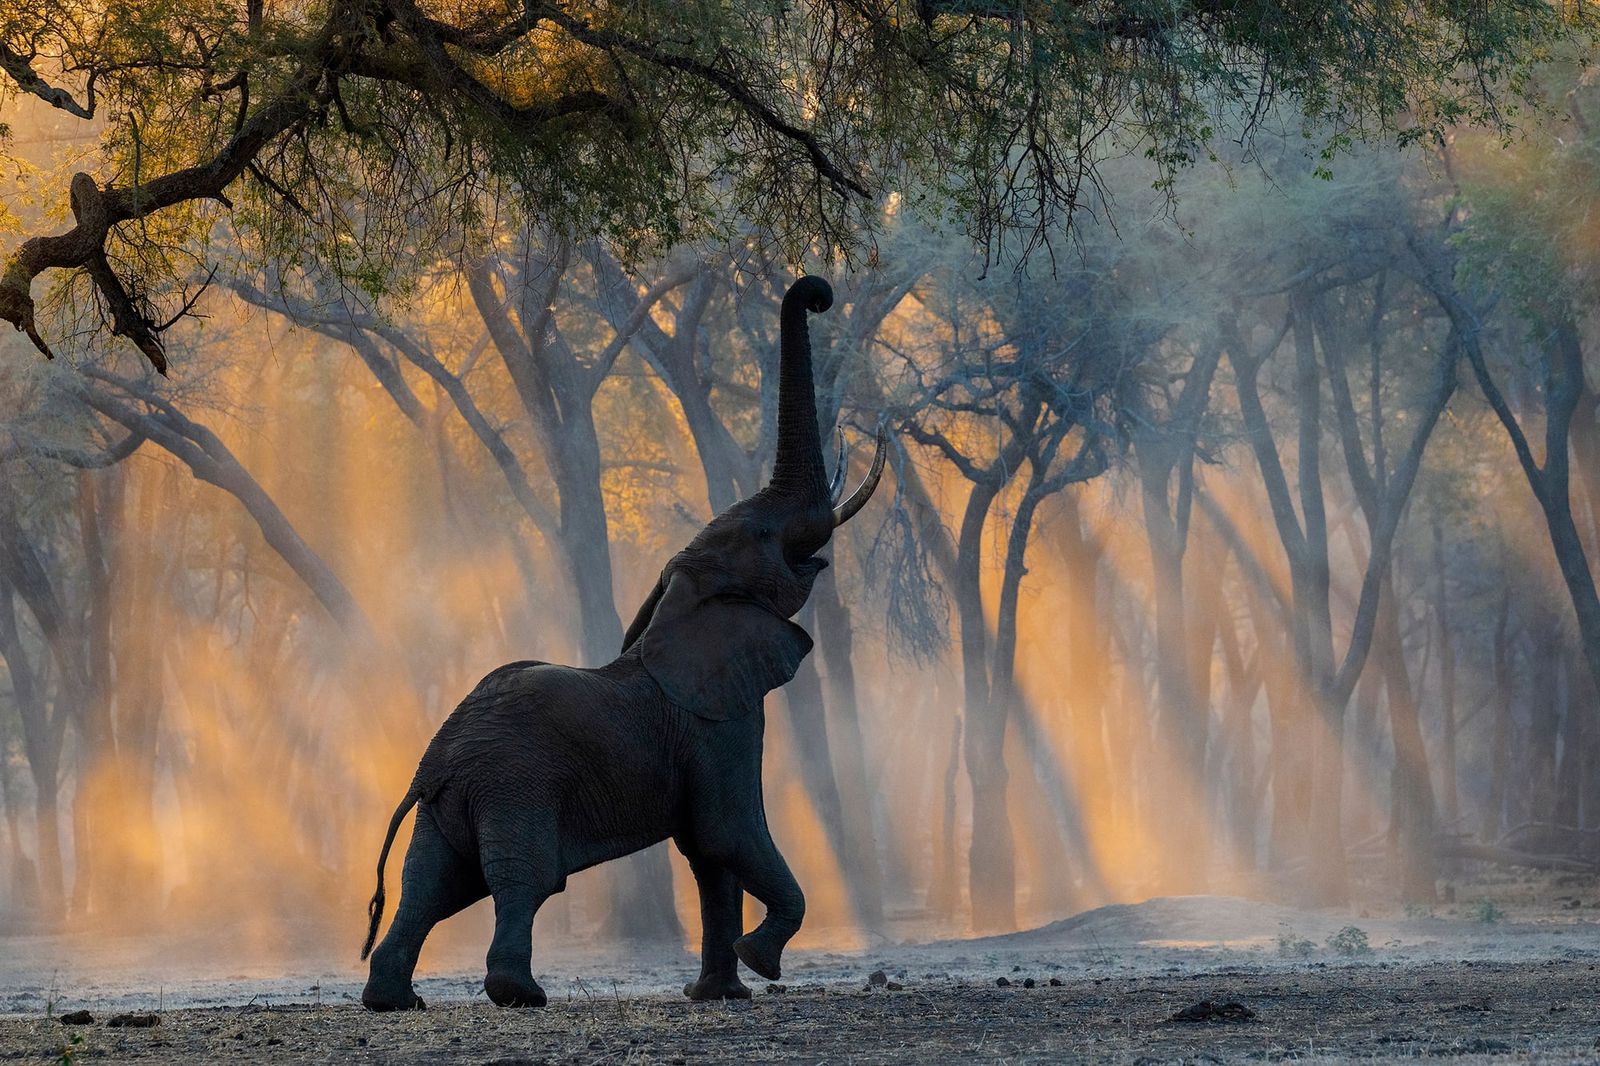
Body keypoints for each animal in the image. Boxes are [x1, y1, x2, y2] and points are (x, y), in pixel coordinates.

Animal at [358, 275, 886, 1011]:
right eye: (762, 535)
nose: (818, 294)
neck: (678, 602)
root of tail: (433, 764)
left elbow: (709, 853)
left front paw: (720, 994)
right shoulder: (718, 724)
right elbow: (728, 830)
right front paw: (760, 962)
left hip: (448, 806)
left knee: (431, 885)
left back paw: (394, 1000)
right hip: (515, 786)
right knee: (522, 881)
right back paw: (520, 994)